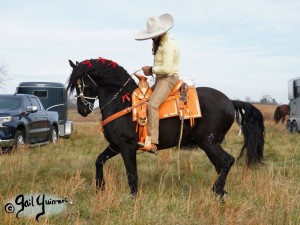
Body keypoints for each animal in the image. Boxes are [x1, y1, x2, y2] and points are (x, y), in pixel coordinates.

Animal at [66, 57, 264, 197]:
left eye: (82, 83)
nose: (82, 110)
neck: (123, 103)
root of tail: (230, 101)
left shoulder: (127, 148)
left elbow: (132, 175)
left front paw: (132, 199)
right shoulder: (115, 146)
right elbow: (99, 161)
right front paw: (100, 187)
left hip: (210, 143)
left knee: (228, 161)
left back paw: (217, 190)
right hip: (209, 145)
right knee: (221, 166)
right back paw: (220, 192)